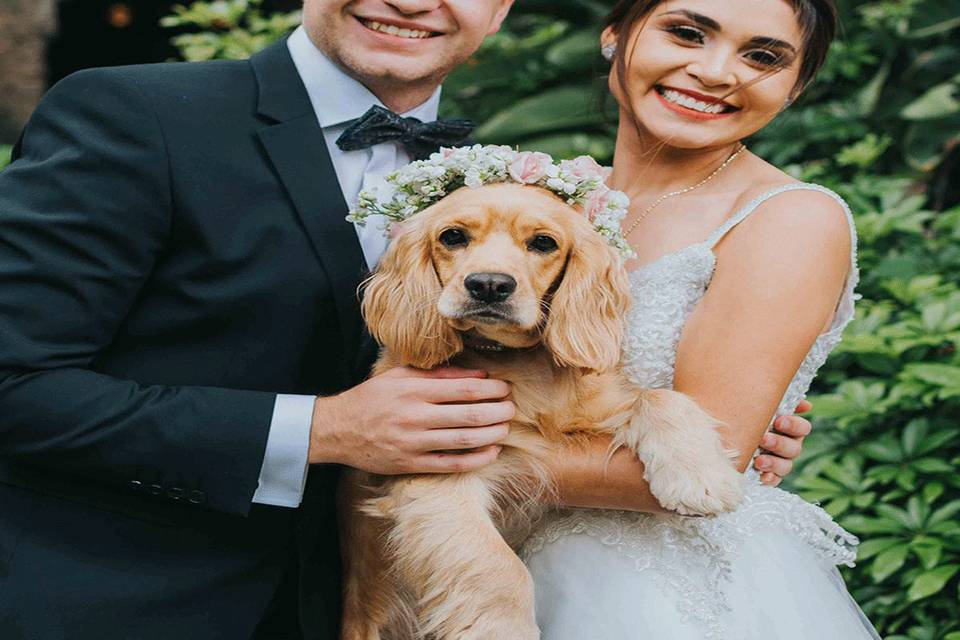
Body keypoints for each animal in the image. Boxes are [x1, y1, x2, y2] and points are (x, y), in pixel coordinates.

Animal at [338, 182, 744, 636]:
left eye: (543, 243)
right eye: (453, 236)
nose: (489, 285)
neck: (516, 363)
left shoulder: (598, 406)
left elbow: (657, 396)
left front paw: (699, 476)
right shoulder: (436, 474)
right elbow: (500, 571)